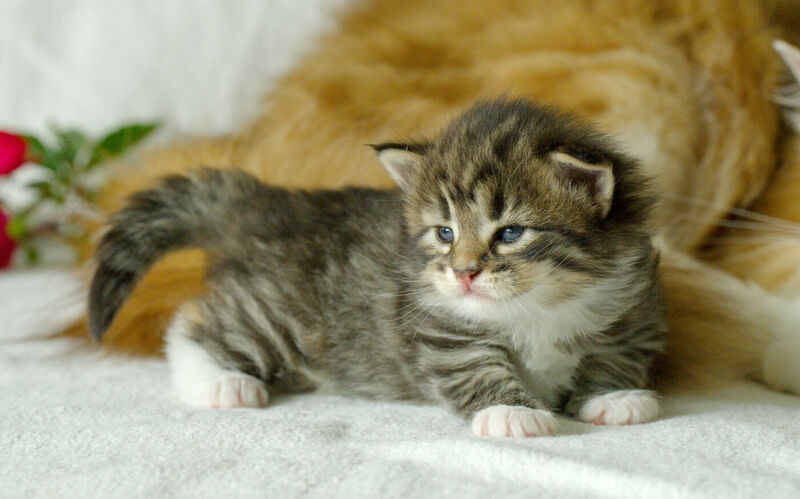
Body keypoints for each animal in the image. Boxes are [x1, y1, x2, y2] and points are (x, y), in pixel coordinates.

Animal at [87, 100, 664, 438]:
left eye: (510, 234)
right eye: (445, 233)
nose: (464, 273)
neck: (538, 305)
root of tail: (281, 202)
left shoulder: (631, 305)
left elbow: (614, 355)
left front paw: (613, 397)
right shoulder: (442, 331)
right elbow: (475, 368)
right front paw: (511, 411)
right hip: (280, 314)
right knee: (193, 323)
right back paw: (222, 382)